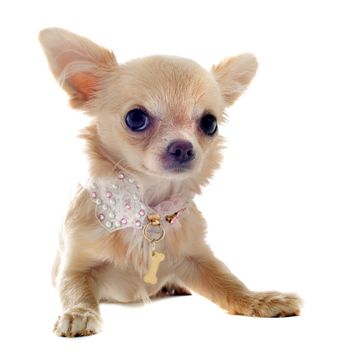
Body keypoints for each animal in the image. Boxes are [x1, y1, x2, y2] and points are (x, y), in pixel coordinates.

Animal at [39, 28, 300, 338]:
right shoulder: (75, 266)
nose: (183, 147)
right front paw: (79, 313)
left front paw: (260, 300)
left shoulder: (197, 258)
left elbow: (229, 283)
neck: (148, 209)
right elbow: (76, 290)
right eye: (135, 118)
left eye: (210, 123)